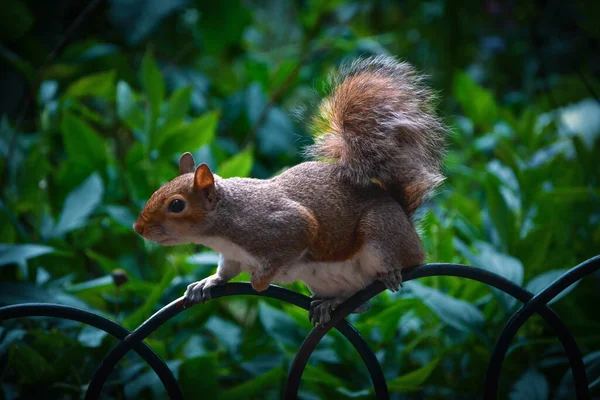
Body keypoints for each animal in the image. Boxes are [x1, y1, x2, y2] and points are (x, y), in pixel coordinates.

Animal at [134, 56, 448, 324]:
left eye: (176, 205)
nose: (139, 228)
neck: (224, 223)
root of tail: (409, 228)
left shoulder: (281, 225)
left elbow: (295, 238)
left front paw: (259, 281)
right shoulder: (232, 256)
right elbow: (226, 272)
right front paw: (207, 282)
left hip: (380, 233)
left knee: (381, 276)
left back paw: (390, 274)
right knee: (361, 302)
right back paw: (332, 303)